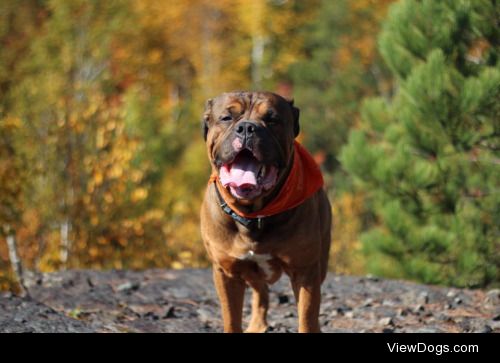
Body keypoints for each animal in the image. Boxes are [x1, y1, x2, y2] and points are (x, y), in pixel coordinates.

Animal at [199, 92, 332, 334]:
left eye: (272, 119)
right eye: (226, 117)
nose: (247, 128)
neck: (254, 215)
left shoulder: (305, 270)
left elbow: (307, 316)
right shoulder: (226, 271)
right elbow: (231, 317)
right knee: (260, 290)